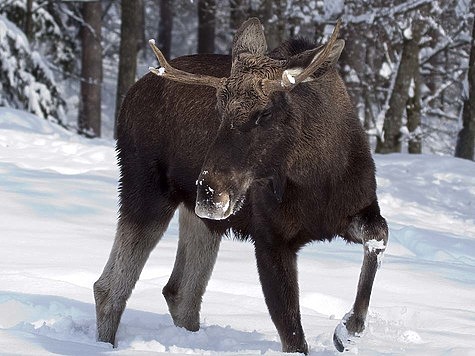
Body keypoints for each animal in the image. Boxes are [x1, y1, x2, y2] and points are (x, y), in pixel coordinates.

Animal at [94, 18, 390, 354]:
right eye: (219, 109)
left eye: (266, 113)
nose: (211, 190)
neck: (317, 177)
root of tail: (128, 97)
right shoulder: (270, 236)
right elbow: (292, 336)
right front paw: (343, 330)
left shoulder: (357, 210)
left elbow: (379, 234)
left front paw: (347, 330)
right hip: (146, 188)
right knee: (110, 287)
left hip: (199, 216)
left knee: (180, 292)